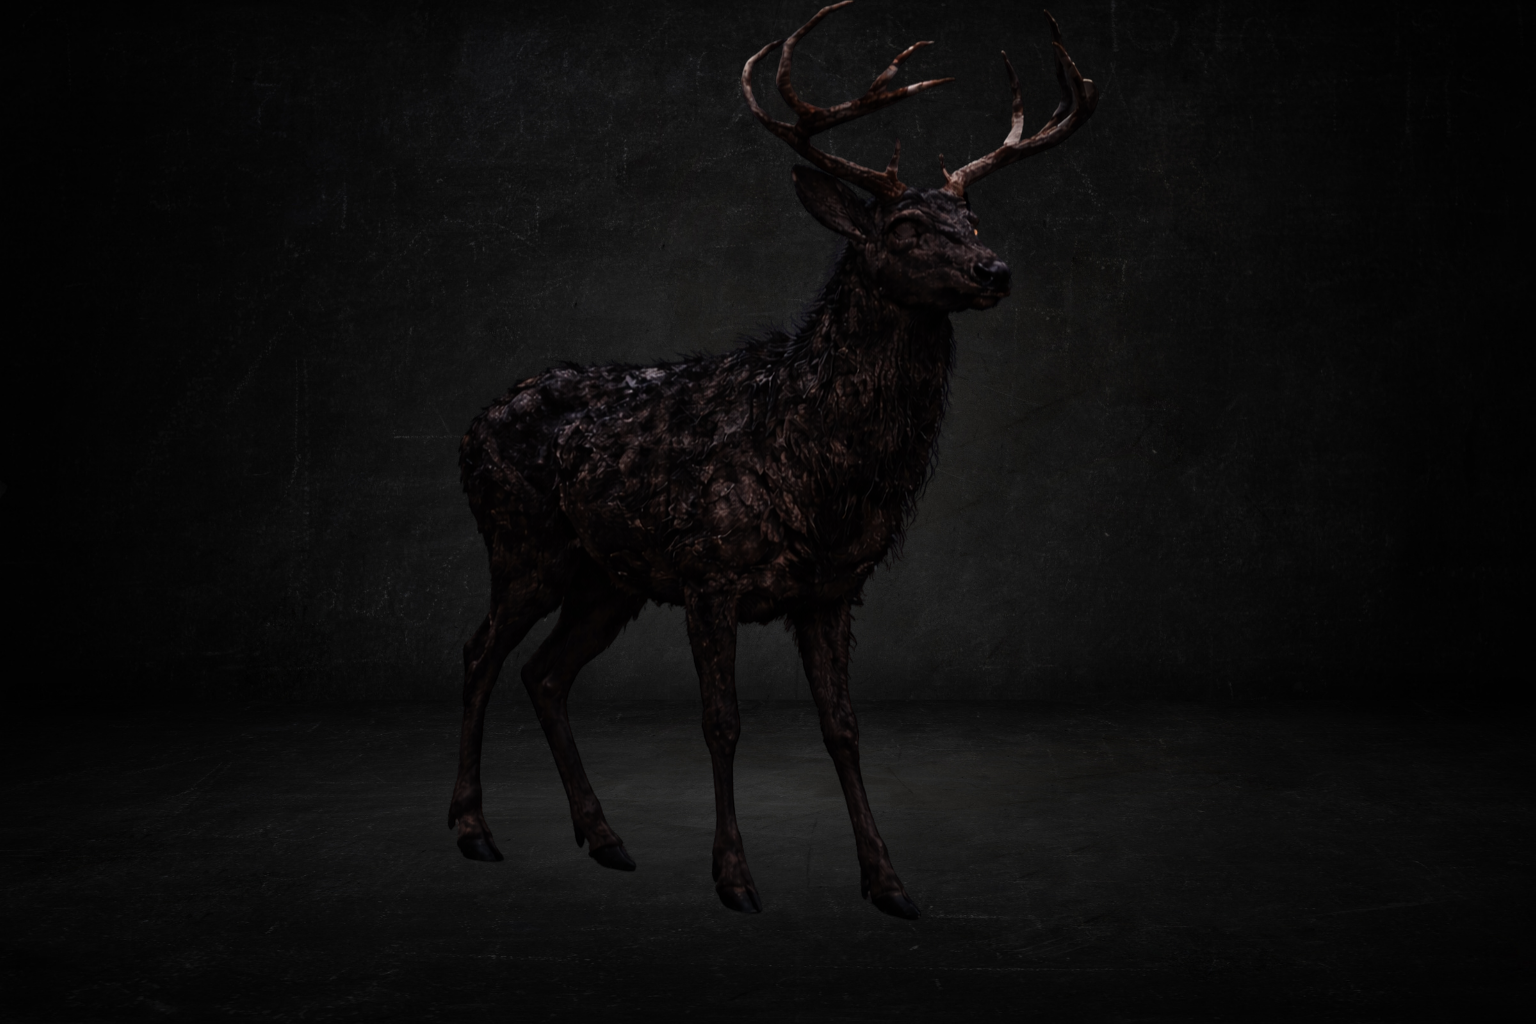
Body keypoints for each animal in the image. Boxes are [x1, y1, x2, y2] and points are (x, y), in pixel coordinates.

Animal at [448, 1, 1096, 919]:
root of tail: (470, 428)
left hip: (608, 579)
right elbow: (723, 724)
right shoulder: (709, 576)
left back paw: (606, 840)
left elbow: (844, 729)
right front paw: (735, 878)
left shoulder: (831, 590)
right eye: (903, 228)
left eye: (972, 223)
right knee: (482, 654)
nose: (994, 268)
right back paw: (474, 829)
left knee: (544, 672)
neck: (817, 465)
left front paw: (888, 882)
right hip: (522, 546)